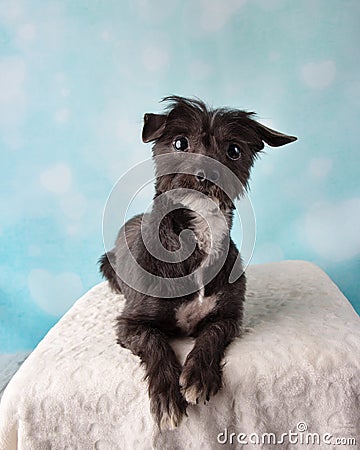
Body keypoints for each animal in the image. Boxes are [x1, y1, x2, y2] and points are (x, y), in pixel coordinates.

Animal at [98, 95, 296, 428]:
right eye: (180, 142)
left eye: (234, 150)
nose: (208, 172)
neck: (198, 233)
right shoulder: (131, 323)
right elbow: (155, 342)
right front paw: (167, 396)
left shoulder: (229, 317)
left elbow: (211, 335)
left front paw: (198, 376)